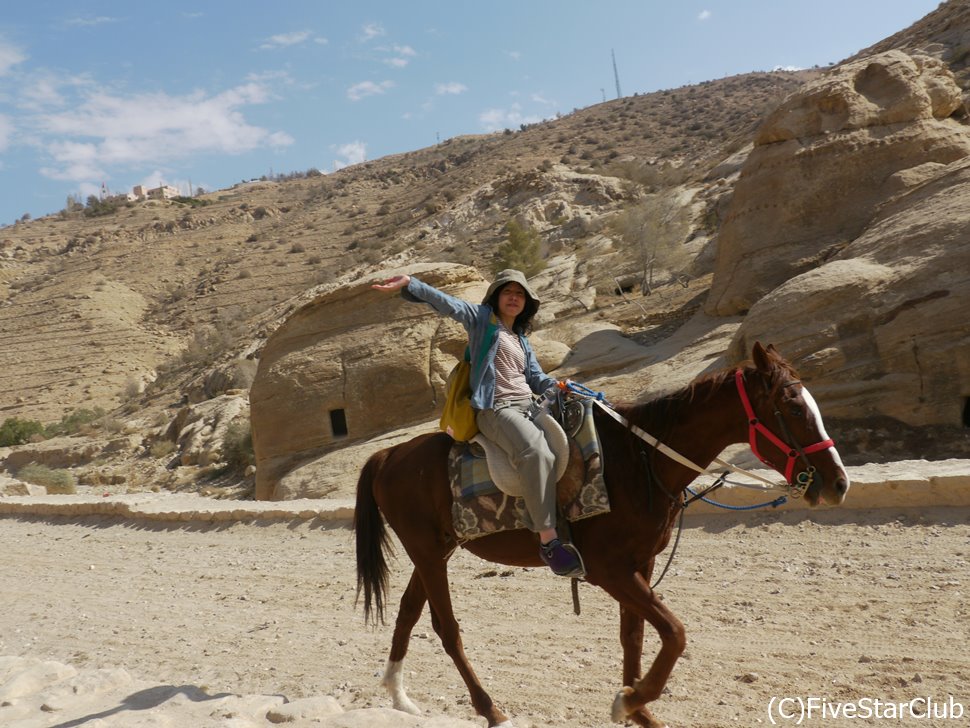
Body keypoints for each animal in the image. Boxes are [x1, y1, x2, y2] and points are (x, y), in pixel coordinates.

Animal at [356, 342, 848, 728]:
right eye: (793, 408)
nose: (838, 483)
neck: (637, 461)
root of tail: (386, 455)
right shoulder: (609, 572)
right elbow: (674, 633)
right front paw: (630, 700)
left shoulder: (640, 565)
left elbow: (635, 636)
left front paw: (638, 710)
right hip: (429, 554)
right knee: (447, 629)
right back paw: (490, 709)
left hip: (436, 552)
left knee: (408, 612)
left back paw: (398, 696)